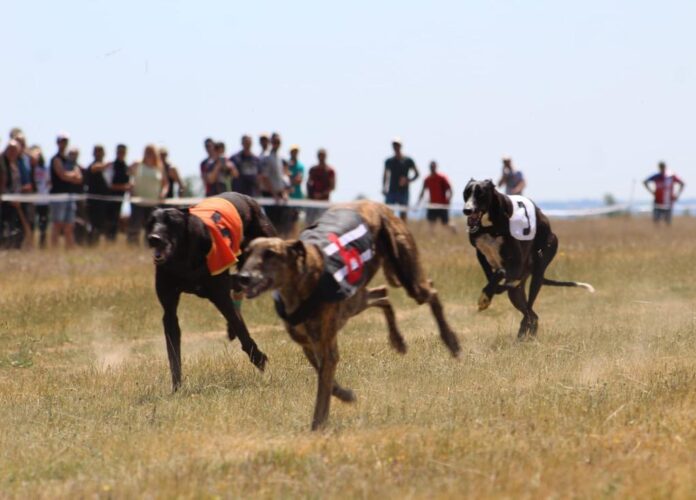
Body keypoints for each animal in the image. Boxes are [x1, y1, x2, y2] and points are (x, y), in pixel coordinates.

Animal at [145, 191, 276, 390]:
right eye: (152, 221)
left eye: (171, 221)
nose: (153, 238)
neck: (183, 258)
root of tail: (245, 197)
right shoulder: (169, 309)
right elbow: (173, 351)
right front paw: (176, 388)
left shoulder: (220, 295)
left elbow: (242, 331)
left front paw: (259, 359)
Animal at [235, 199, 462, 430]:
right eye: (247, 252)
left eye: (270, 253)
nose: (242, 277)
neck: (304, 278)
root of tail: (376, 204)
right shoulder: (308, 343)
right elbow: (325, 378)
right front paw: (344, 395)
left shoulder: (325, 344)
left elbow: (323, 390)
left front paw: (318, 424)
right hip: (356, 300)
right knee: (383, 293)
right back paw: (397, 340)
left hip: (407, 276)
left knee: (431, 291)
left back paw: (450, 341)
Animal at [462, 180, 592, 340]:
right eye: (466, 193)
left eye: (481, 194)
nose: (467, 210)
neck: (490, 226)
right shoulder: (481, 254)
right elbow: (492, 276)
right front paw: (489, 293)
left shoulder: (515, 264)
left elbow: (500, 273)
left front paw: (485, 297)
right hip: (517, 291)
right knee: (530, 314)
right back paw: (523, 336)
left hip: (538, 272)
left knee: (530, 310)